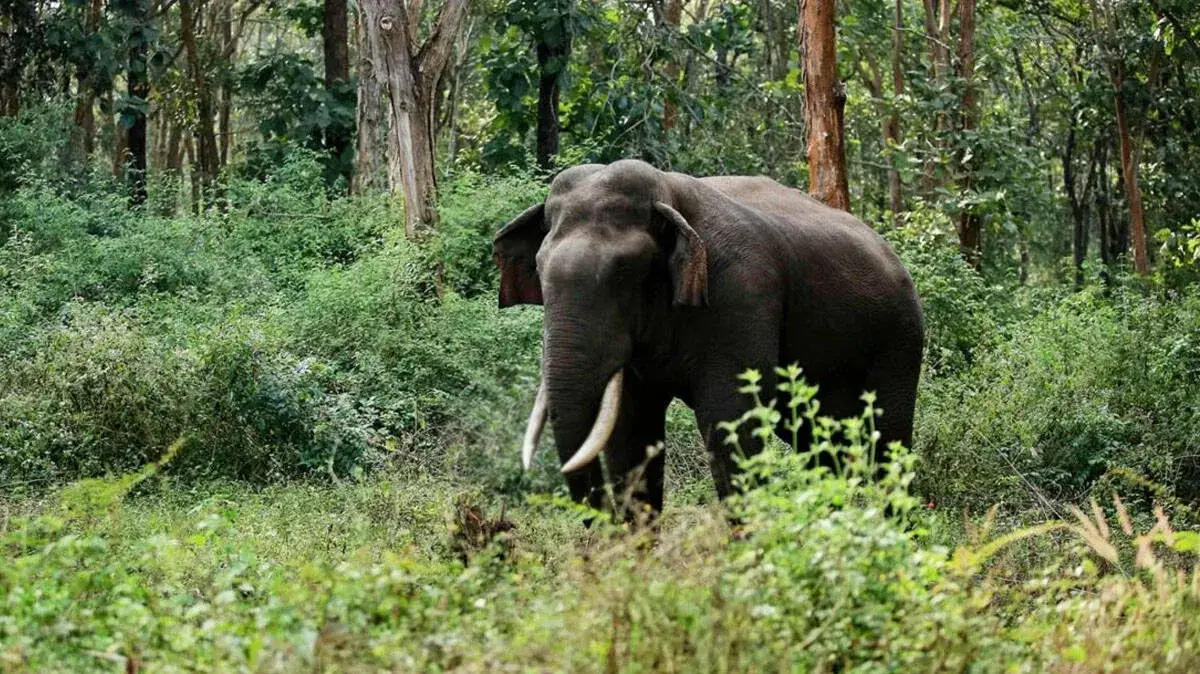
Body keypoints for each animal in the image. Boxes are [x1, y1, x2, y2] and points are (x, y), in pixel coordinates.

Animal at [493, 159, 923, 520]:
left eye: (624, 272)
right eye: (539, 270)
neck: (667, 193)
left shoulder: (742, 295)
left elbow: (729, 421)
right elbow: (630, 429)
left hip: (899, 343)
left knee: (887, 444)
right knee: (822, 446)